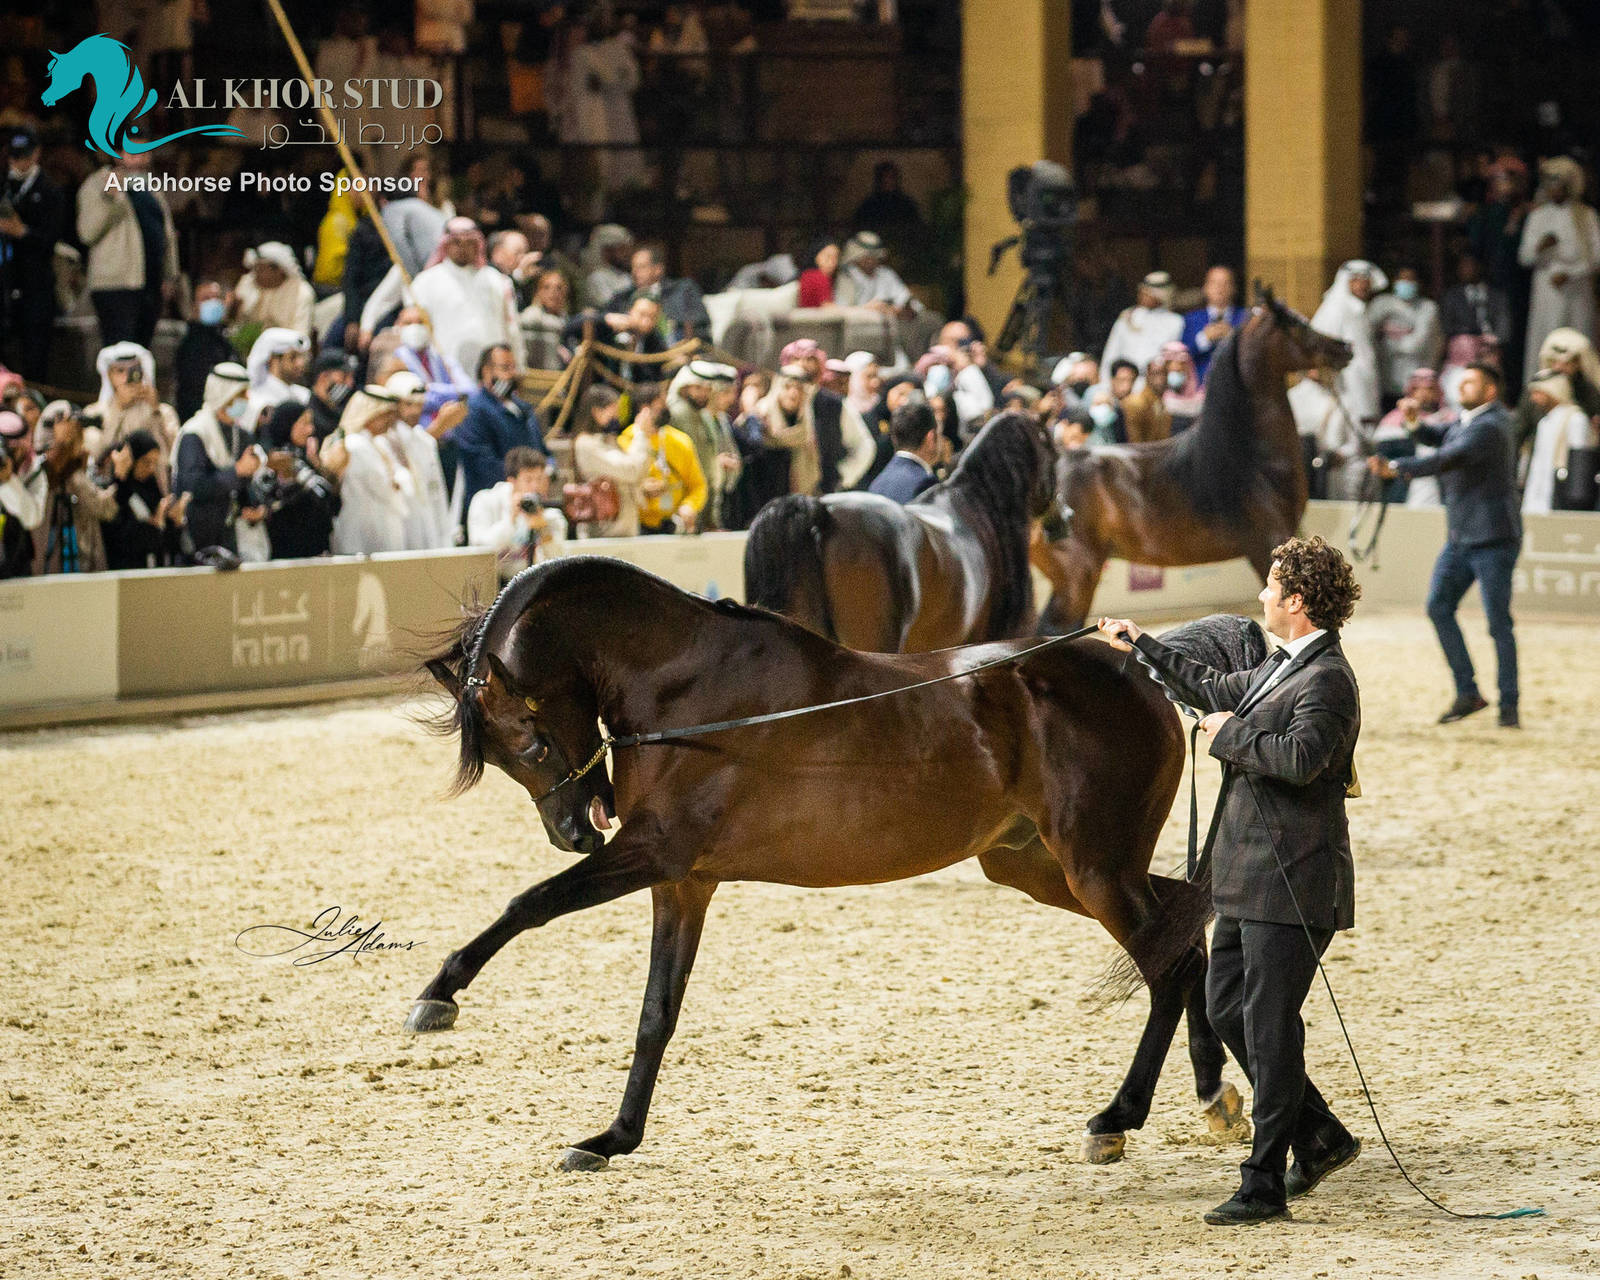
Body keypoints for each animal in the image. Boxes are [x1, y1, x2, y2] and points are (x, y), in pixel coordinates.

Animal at [409, 555, 1265, 1171]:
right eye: (506, 751)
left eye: (527, 736)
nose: (576, 830)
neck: (688, 689)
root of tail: (1143, 672)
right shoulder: (683, 882)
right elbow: (656, 1013)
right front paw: (612, 1138)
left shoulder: (652, 850)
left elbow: (529, 903)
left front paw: (438, 994)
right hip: (1043, 867)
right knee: (1184, 936)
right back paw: (1218, 1096)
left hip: (1094, 867)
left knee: (1168, 964)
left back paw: (1118, 1118)